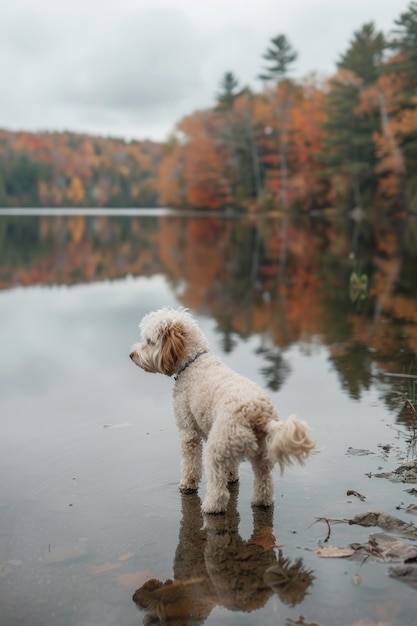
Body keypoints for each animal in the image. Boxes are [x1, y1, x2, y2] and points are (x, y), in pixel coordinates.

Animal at [128, 306, 314, 512]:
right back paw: (261, 501)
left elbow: (190, 463)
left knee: (218, 489)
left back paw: (210, 507)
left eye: (149, 341)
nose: (131, 354)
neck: (193, 361)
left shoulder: (188, 431)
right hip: (260, 454)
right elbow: (231, 468)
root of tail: (256, 413)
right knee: (264, 481)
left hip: (216, 450)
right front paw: (232, 478)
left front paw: (187, 484)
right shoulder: (223, 444)